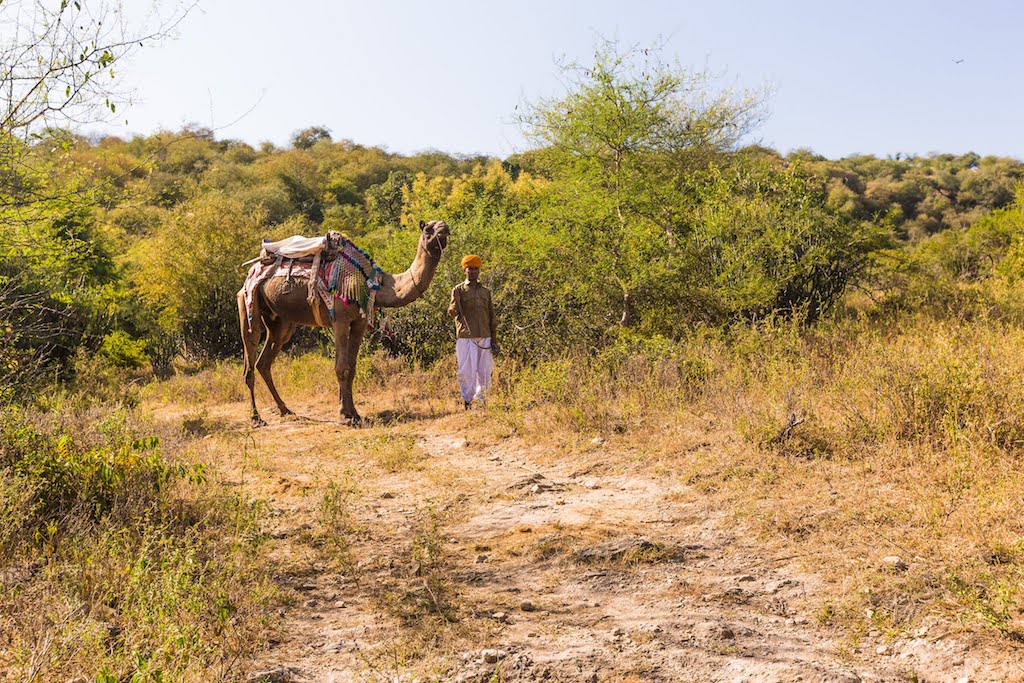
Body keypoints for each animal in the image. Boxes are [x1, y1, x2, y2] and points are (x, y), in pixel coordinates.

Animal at [237, 220, 450, 428]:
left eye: (441, 225)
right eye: (428, 229)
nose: (444, 227)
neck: (374, 284)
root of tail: (252, 270)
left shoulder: (359, 322)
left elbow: (352, 367)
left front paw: (354, 413)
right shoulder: (339, 320)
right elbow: (341, 367)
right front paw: (345, 416)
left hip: (281, 321)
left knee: (264, 362)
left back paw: (285, 409)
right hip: (248, 302)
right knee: (250, 359)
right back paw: (256, 418)